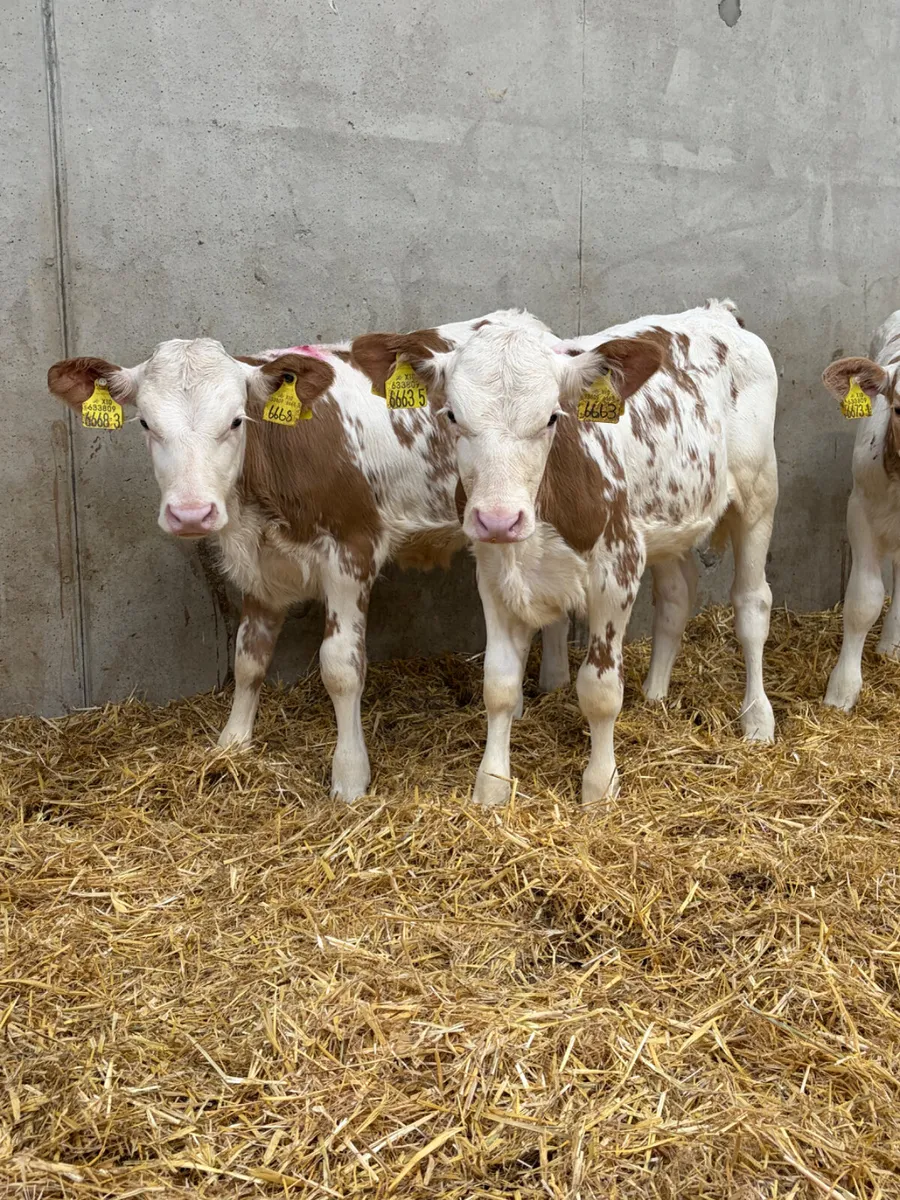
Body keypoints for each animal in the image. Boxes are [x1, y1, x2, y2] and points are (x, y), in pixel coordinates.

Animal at [47, 316, 571, 800]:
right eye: (145, 424)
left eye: (236, 421)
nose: (191, 513)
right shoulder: (260, 569)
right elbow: (248, 659)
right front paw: (232, 743)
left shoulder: (352, 551)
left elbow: (341, 668)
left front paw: (350, 777)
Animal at [352, 301, 779, 806]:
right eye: (452, 415)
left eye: (553, 417)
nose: (499, 518)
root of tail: (717, 312)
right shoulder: (493, 572)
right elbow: (498, 683)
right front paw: (491, 784)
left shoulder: (618, 564)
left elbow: (599, 688)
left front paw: (599, 785)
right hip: (666, 520)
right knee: (676, 597)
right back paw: (655, 693)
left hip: (759, 493)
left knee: (752, 605)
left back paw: (757, 718)